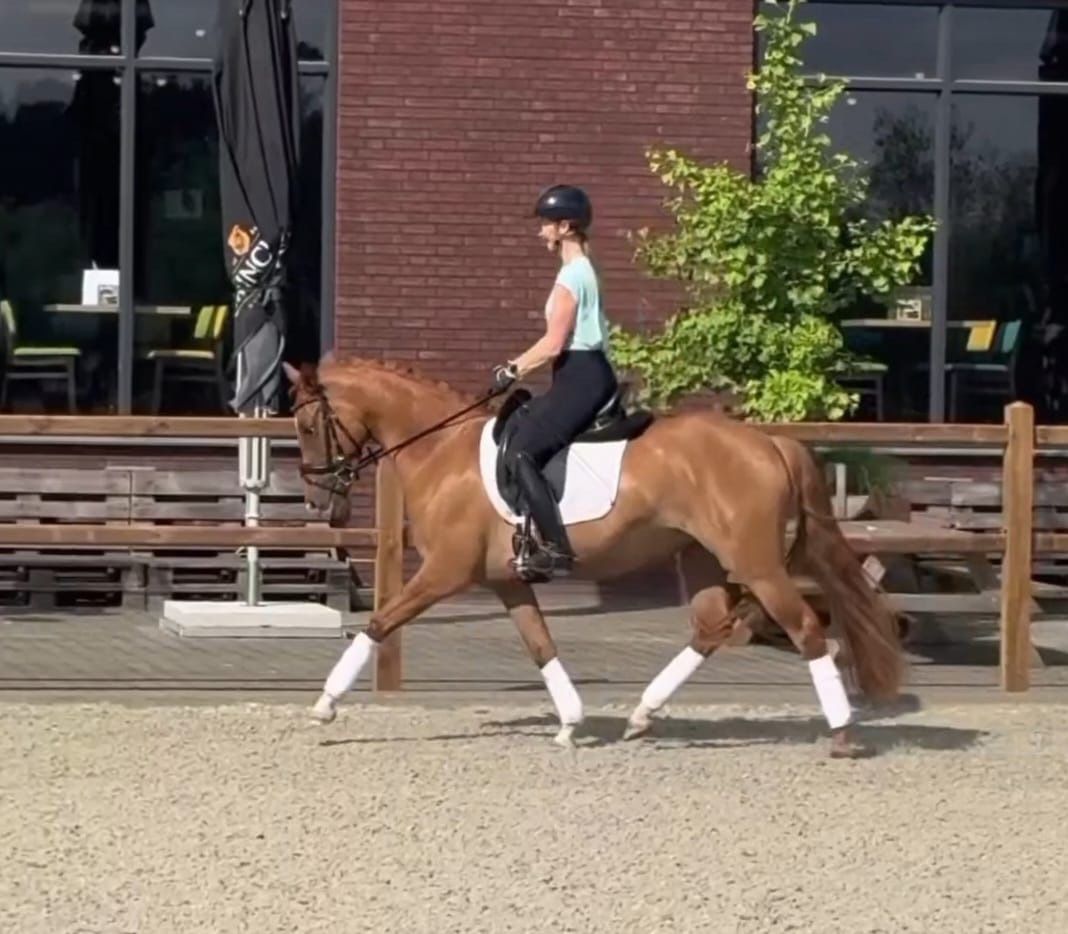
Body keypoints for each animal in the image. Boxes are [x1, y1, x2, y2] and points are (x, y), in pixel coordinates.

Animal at [284, 355, 904, 758]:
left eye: (309, 424)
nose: (318, 500)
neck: (440, 450)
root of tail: (770, 442)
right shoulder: (506, 580)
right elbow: (540, 644)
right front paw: (570, 723)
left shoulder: (444, 574)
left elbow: (379, 623)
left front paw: (325, 703)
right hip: (702, 557)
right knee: (712, 626)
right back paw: (642, 715)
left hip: (758, 565)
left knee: (804, 628)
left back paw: (843, 735)